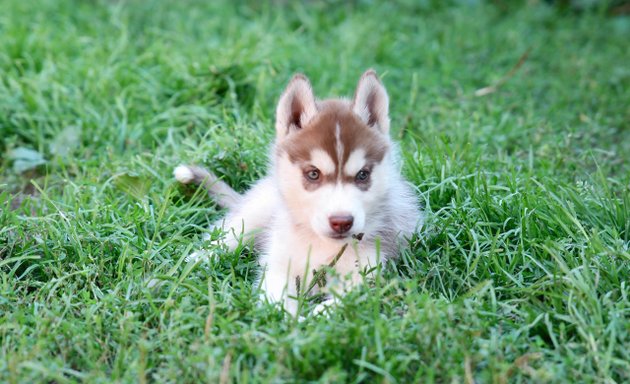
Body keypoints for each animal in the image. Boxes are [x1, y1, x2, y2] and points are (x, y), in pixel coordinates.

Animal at [175, 69, 422, 316]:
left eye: (362, 175)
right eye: (313, 174)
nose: (341, 222)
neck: (322, 243)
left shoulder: (368, 273)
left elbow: (341, 302)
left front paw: (314, 317)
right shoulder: (277, 265)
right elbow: (277, 302)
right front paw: (289, 319)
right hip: (254, 215)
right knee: (224, 237)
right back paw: (195, 259)